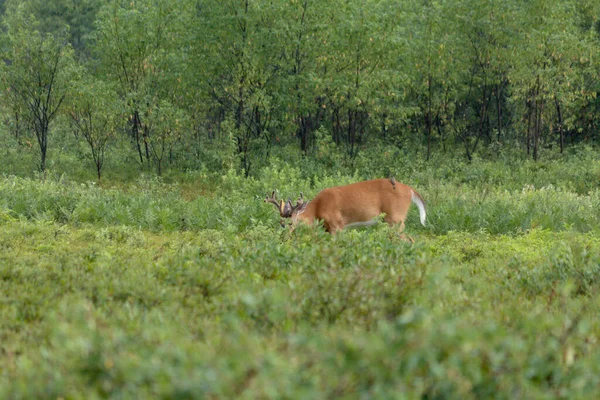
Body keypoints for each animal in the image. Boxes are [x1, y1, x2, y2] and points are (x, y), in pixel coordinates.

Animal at [264, 177, 426, 236]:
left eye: (290, 223)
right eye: (280, 222)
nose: (283, 237)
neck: (317, 209)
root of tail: (410, 190)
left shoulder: (337, 224)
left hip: (395, 218)